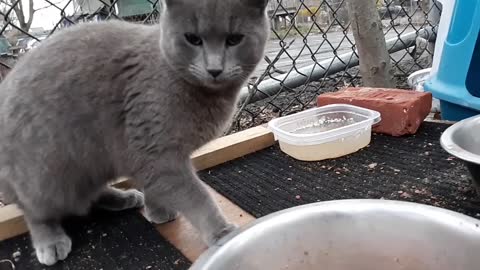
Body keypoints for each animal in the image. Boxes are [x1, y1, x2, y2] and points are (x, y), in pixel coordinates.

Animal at [0, 0, 270, 266]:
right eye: (193, 39)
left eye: (234, 39)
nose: (214, 69)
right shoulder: (157, 152)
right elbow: (196, 196)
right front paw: (222, 232)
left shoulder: (149, 157)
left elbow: (156, 185)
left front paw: (157, 211)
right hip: (47, 175)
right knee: (36, 211)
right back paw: (50, 242)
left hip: (92, 165)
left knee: (88, 196)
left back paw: (124, 198)